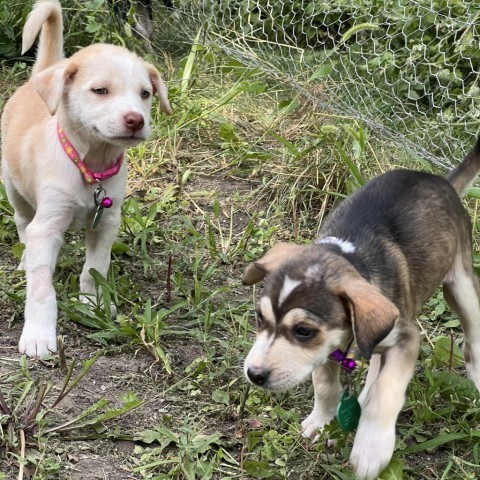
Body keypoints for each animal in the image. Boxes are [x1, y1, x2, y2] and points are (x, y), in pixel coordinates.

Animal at [0, 0, 173, 356]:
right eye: (100, 91)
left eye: (145, 94)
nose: (136, 120)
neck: (90, 164)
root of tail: (39, 76)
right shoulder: (46, 226)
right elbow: (42, 288)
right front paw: (38, 334)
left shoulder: (106, 223)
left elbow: (95, 268)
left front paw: (91, 303)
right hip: (13, 187)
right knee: (22, 222)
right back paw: (24, 259)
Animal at [244, 139, 480, 480]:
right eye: (259, 318)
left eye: (303, 331)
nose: (254, 375)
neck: (347, 251)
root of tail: (441, 180)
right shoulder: (328, 350)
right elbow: (325, 385)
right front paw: (322, 421)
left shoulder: (405, 337)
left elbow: (387, 392)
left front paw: (372, 448)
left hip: (460, 284)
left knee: (470, 340)